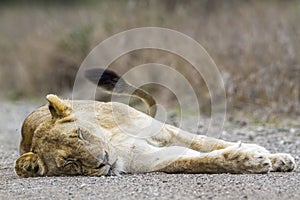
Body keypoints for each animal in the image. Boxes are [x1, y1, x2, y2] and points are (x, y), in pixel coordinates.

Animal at [14, 69, 296, 177]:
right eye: (70, 163)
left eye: (81, 134)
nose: (103, 160)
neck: (113, 142)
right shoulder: (151, 159)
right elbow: (201, 160)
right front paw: (251, 160)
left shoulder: (166, 132)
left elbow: (210, 143)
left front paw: (278, 157)